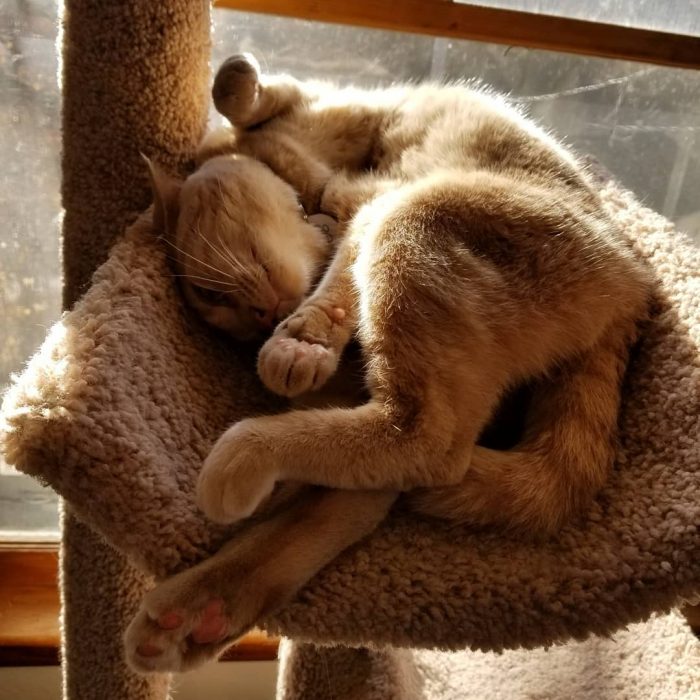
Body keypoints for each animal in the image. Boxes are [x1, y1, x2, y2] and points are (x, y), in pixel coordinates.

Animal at [126, 54, 650, 672]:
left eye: (209, 292)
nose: (260, 321)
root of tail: (632, 292)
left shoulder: (338, 125)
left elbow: (240, 91)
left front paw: (301, 343)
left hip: (416, 217)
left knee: (420, 443)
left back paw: (246, 457)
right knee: (377, 474)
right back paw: (193, 614)